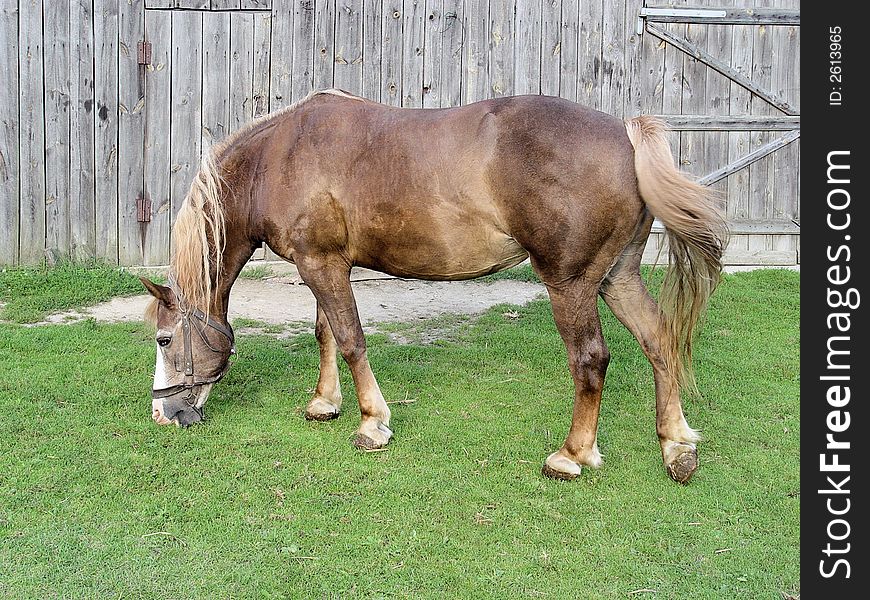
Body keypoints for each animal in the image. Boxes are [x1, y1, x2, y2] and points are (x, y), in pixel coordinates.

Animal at [141, 89, 728, 482]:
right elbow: (326, 334)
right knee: (658, 340)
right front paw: (324, 404)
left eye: (165, 339)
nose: (163, 414)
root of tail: (626, 134)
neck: (277, 158)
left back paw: (571, 455)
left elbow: (350, 340)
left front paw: (372, 423)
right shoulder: (324, 265)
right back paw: (676, 445)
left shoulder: (322, 266)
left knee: (590, 360)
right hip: (616, 277)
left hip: (572, 284)